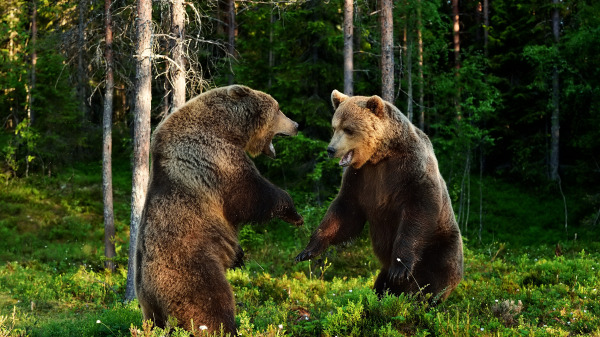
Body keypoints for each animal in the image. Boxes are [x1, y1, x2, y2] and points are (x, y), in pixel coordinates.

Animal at [136, 84, 304, 334]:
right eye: (278, 109)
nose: (296, 125)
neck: (226, 128)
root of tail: (148, 293)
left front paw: (240, 255)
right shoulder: (214, 159)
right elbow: (251, 194)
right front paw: (294, 213)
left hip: (152, 312)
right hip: (193, 271)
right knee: (212, 304)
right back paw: (228, 328)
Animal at [296, 90, 464, 302]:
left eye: (348, 129)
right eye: (334, 127)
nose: (331, 150)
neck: (381, 156)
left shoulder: (411, 171)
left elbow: (418, 211)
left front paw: (400, 267)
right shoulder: (361, 179)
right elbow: (344, 213)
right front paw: (307, 250)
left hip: (441, 247)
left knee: (434, 280)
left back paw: (421, 298)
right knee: (383, 283)